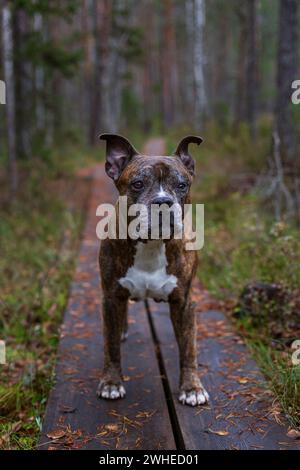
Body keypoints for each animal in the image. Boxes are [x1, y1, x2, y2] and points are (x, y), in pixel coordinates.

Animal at [96, 134, 209, 406]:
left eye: (182, 185)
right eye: (137, 184)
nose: (163, 202)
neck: (151, 243)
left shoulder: (185, 301)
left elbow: (188, 349)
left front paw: (192, 387)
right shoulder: (110, 296)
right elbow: (111, 345)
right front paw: (111, 382)